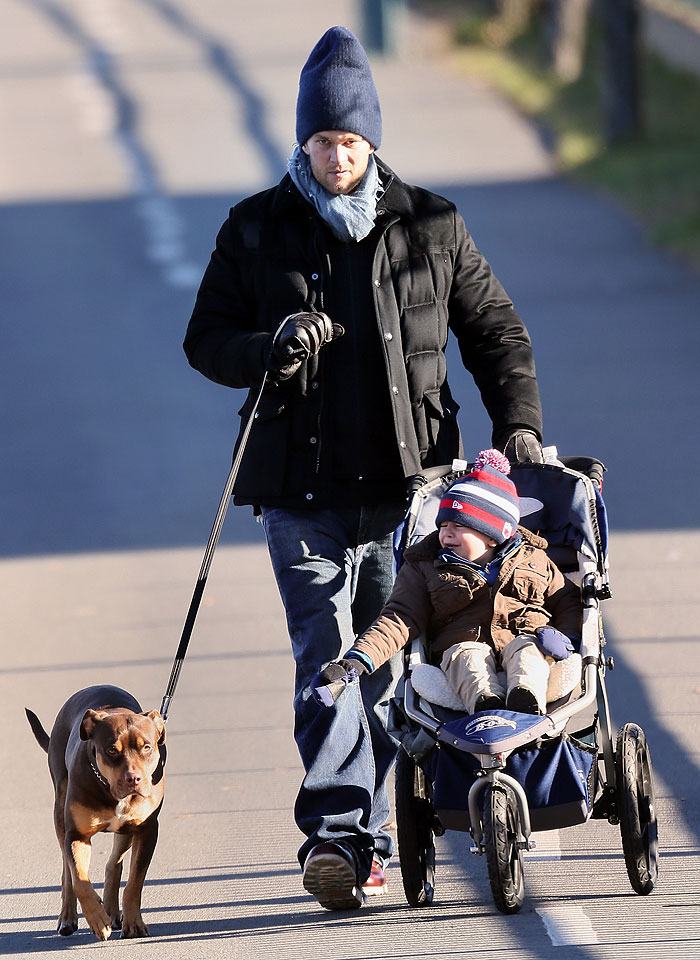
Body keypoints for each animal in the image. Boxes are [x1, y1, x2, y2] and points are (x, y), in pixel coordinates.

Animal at [25, 688, 165, 940]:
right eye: (111, 750)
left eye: (147, 747)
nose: (133, 779)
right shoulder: (77, 835)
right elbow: (79, 880)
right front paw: (98, 920)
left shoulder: (147, 830)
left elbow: (135, 881)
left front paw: (133, 923)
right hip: (60, 812)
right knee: (67, 872)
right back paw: (68, 918)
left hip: (126, 831)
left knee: (114, 863)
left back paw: (112, 911)